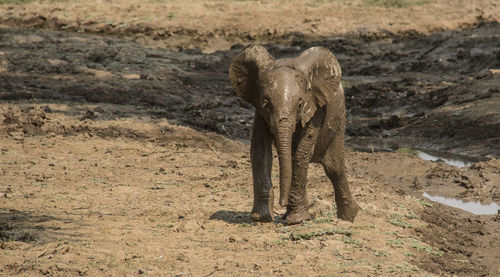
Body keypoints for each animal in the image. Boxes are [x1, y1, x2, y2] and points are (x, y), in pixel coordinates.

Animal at [229, 44, 362, 224]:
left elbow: (301, 153)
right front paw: (262, 218)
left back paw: (349, 217)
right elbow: (260, 151)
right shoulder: (260, 114)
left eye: (300, 103)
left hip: (339, 118)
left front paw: (295, 220)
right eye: (265, 102)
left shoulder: (314, 111)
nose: (281, 203)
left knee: (334, 167)